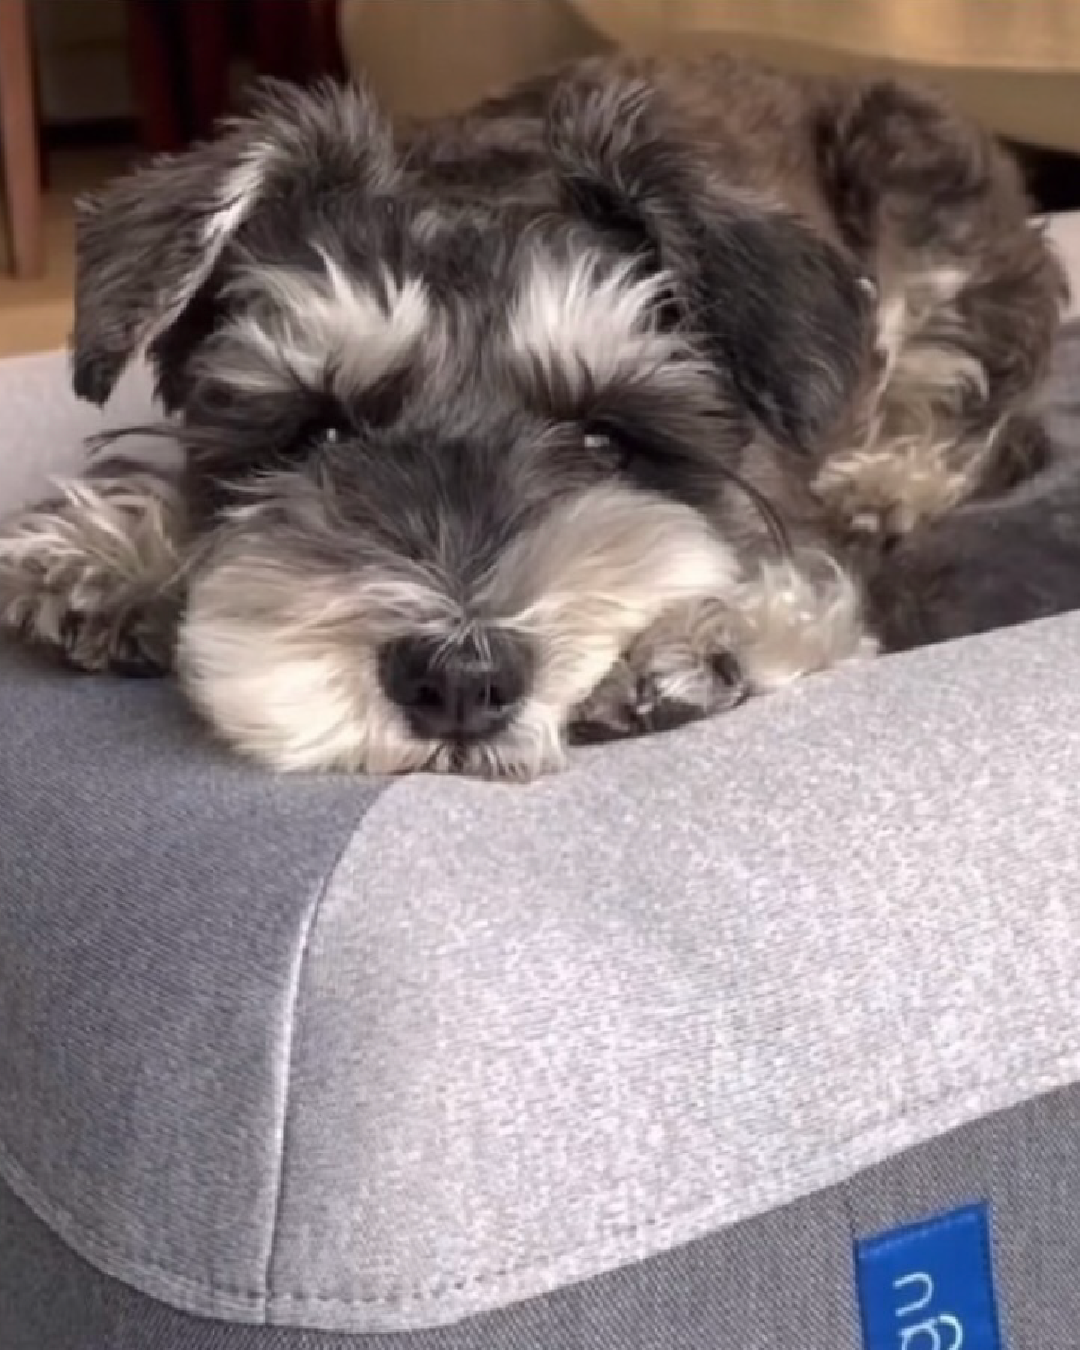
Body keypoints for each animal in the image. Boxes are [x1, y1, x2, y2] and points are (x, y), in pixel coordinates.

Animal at [0, 58, 1069, 777]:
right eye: (319, 432)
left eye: (606, 437)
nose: (457, 683)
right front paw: (109, 557)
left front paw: (700, 636)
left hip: (926, 206)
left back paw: (889, 479)